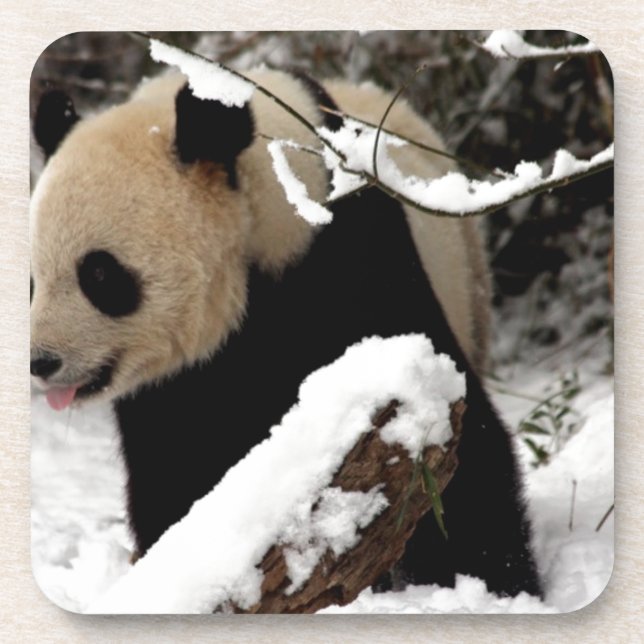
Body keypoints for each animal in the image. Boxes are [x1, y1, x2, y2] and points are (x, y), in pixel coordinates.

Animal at [30, 67, 542, 600]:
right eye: (32, 278)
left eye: (99, 274)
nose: (41, 361)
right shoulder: (172, 385)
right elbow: (175, 471)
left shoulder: (356, 265)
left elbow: (455, 442)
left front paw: (490, 584)